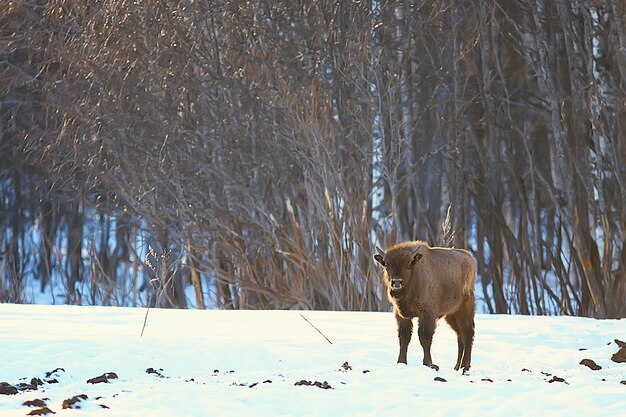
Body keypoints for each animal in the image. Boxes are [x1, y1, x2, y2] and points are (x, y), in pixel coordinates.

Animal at [372, 240, 476, 370]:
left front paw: (428, 363)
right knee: (460, 335)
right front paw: (401, 362)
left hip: (465, 310)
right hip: (451, 315)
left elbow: (424, 338)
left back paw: (465, 367)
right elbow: (404, 338)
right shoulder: (401, 315)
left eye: (408, 265)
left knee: (467, 333)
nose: (397, 282)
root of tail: (470, 259)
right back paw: (457, 366)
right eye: (387, 265)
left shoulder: (427, 314)